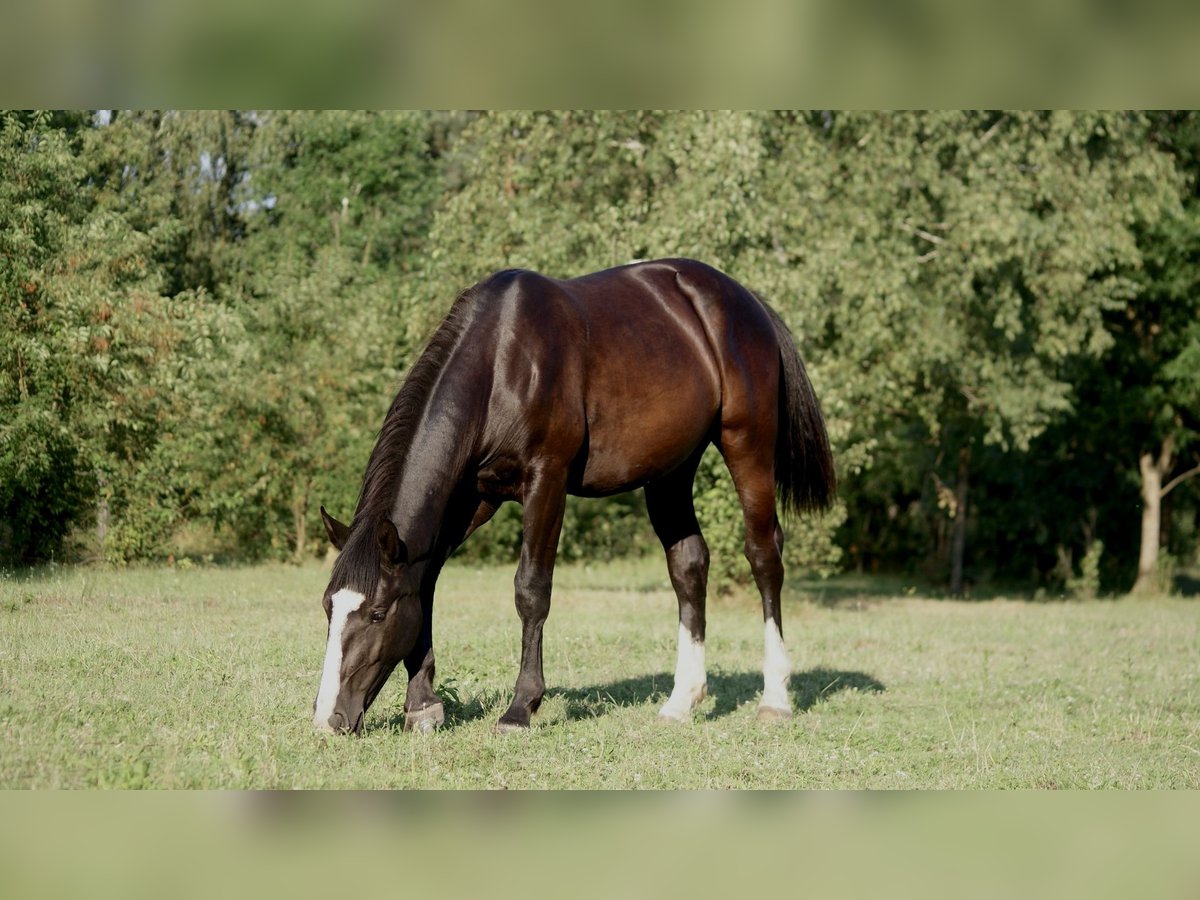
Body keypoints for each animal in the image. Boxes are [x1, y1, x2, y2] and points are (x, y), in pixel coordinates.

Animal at [309, 256, 835, 734]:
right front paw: (423, 705)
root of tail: (747, 303)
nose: (328, 720)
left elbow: (531, 590)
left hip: (748, 445)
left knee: (764, 556)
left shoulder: (547, 480)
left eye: (377, 613)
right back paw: (681, 701)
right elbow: (427, 584)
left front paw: (521, 708)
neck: (501, 361)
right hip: (670, 471)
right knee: (689, 566)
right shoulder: (473, 499)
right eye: (329, 607)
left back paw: (775, 698)